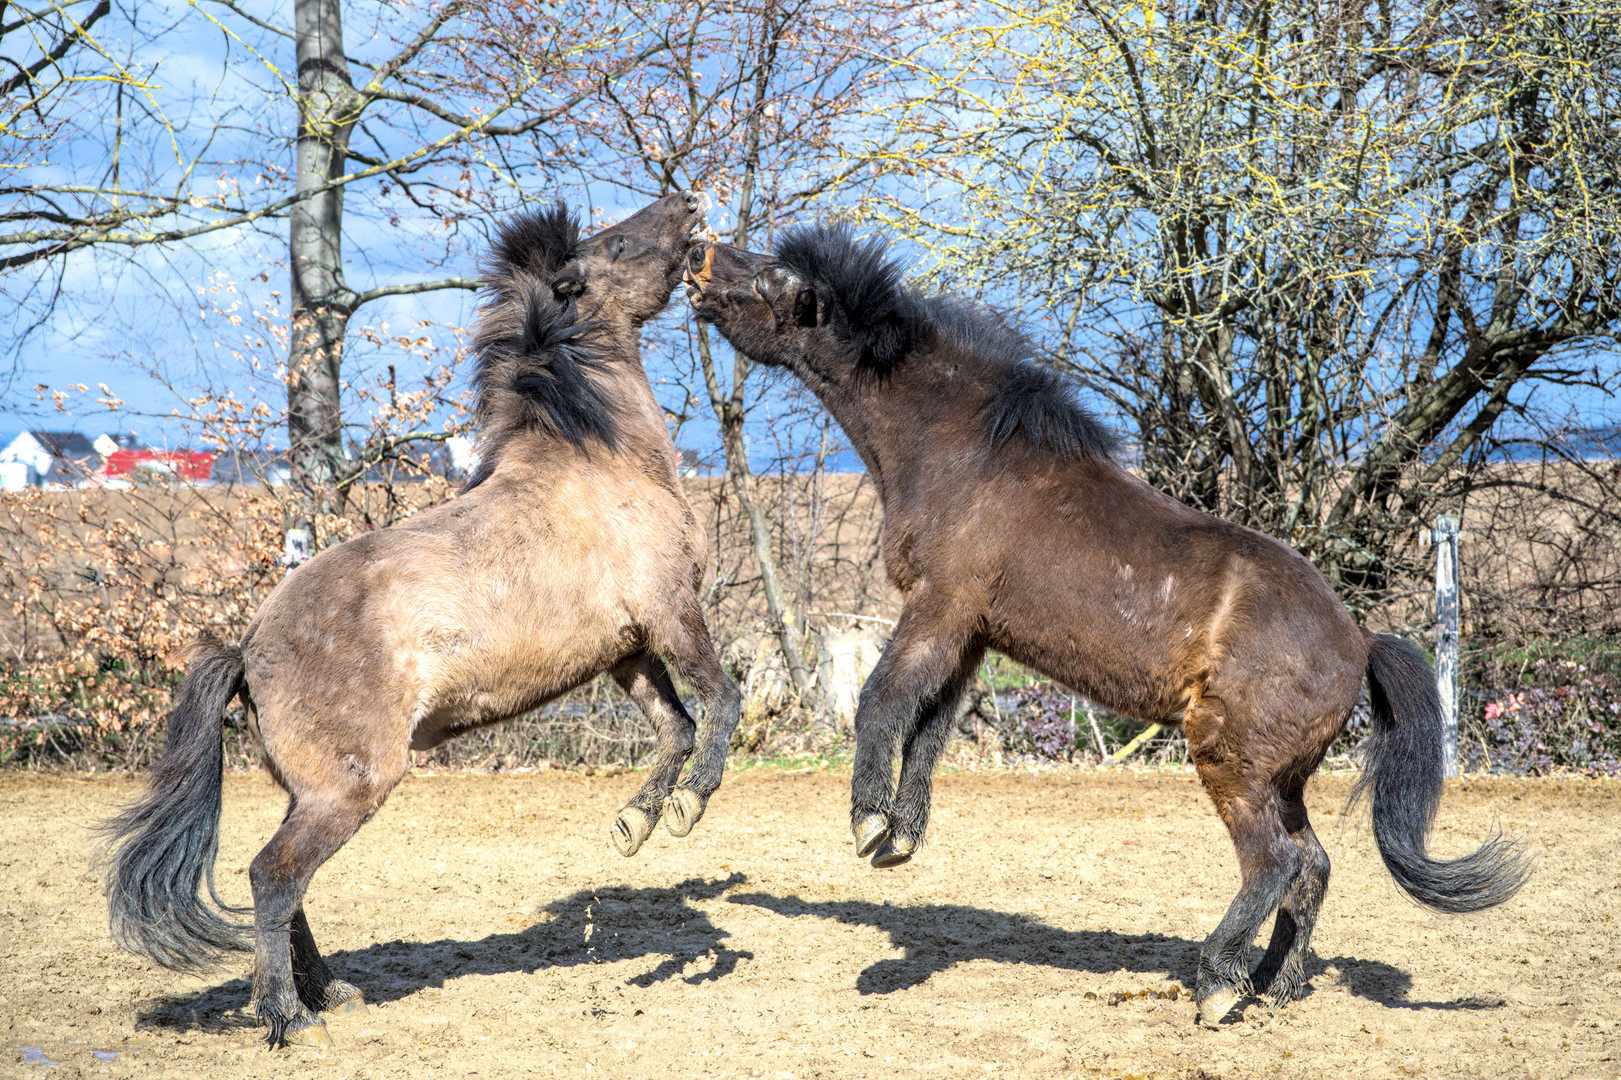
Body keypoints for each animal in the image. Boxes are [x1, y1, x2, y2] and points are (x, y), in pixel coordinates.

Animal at [98, 191, 739, 1044]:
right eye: (620, 243)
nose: (688, 204)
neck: (601, 462)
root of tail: (247, 649)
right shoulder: (671, 615)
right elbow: (721, 703)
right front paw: (689, 812)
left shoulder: (625, 650)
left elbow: (675, 727)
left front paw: (637, 822)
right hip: (353, 786)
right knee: (273, 874)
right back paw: (288, 1015)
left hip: (314, 790)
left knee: (288, 882)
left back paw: (329, 994)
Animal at [690, 228, 1523, 1024]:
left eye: (773, 278)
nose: (698, 255)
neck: (962, 455)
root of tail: (1360, 641)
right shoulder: (971, 635)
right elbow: (927, 732)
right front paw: (899, 837)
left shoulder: (939, 607)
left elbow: (880, 703)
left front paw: (867, 824)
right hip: (1280, 778)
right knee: (1311, 866)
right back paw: (1268, 986)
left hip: (1229, 762)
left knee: (1274, 863)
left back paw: (1216, 985)